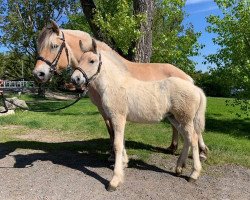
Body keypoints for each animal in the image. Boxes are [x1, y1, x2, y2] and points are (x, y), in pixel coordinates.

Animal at [32, 20, 209, 160]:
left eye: (54, 46)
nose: (38, 74)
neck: (103, 73)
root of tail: (187, 77)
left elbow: (113, 131)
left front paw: (114, 155)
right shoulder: (103, 110)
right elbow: (111, 131)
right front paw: (113, 153)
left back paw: (201, 152)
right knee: (176, 127)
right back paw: (173, 148)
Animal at [71, 39, 207, 191]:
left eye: (92, 61)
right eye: (80, 60)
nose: (75, 79)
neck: (114, 84)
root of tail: (195, 88)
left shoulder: (118, 117)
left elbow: (117, 144)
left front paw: (114, 180)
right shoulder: (116, 119)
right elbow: (121, 142)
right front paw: (123, 165)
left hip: (185, 119)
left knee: (193, 139)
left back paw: (194, 174)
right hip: (175, 119)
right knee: (188, 138)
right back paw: (179, 168)